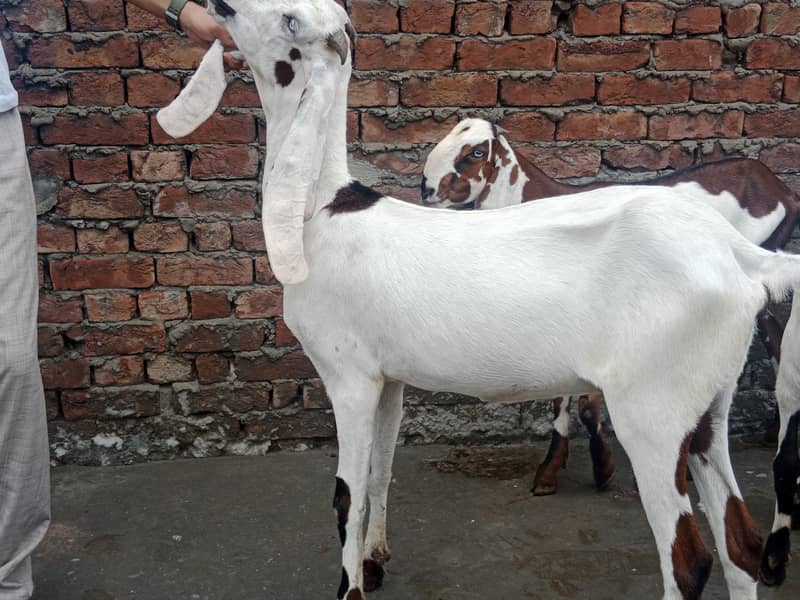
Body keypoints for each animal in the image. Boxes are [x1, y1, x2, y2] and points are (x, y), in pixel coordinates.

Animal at [423, 118, 800, 583]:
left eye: (475, 152)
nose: (426, 188)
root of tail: (782, 191)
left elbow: (578, 403)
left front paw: (585, 467)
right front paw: (571, 467)